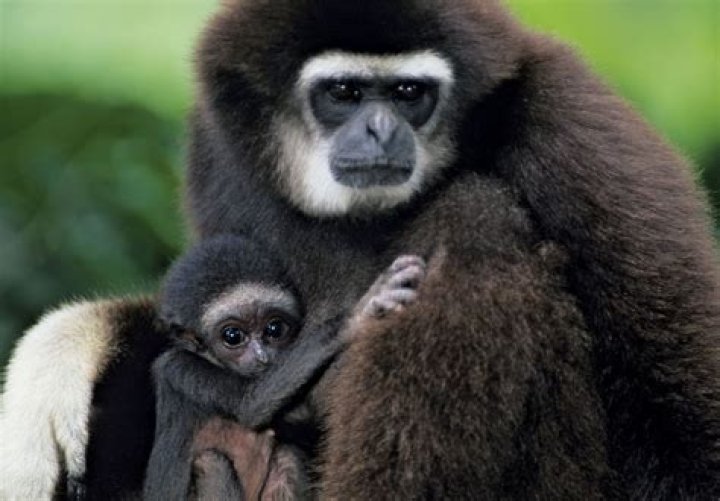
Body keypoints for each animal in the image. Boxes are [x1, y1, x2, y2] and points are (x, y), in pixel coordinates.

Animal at [144, 234, 427, 500]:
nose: (262, 356)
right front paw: (356, 315)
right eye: (233, 336)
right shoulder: (182, 368)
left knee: (287, 457)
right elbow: (250, 406)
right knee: (211, 463)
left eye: (274, 329)